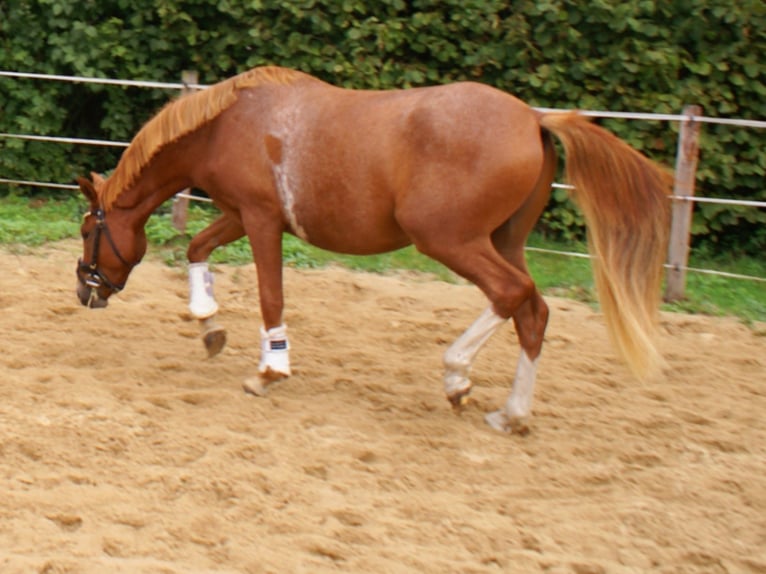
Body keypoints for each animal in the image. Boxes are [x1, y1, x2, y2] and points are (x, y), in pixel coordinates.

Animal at [73, 65, 672, 434]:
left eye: (86, 230)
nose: (84, 289)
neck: (227, 124)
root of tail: (533, 118)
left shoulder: (263, 221)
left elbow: (271, 297)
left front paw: (268, 371)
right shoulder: (238, 215)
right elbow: (196, 247)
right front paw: (208, 324)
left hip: (449, 239)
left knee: (511, 294)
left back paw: (457, 376)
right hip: (505, 239)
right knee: (533, 311)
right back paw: (511, 414)